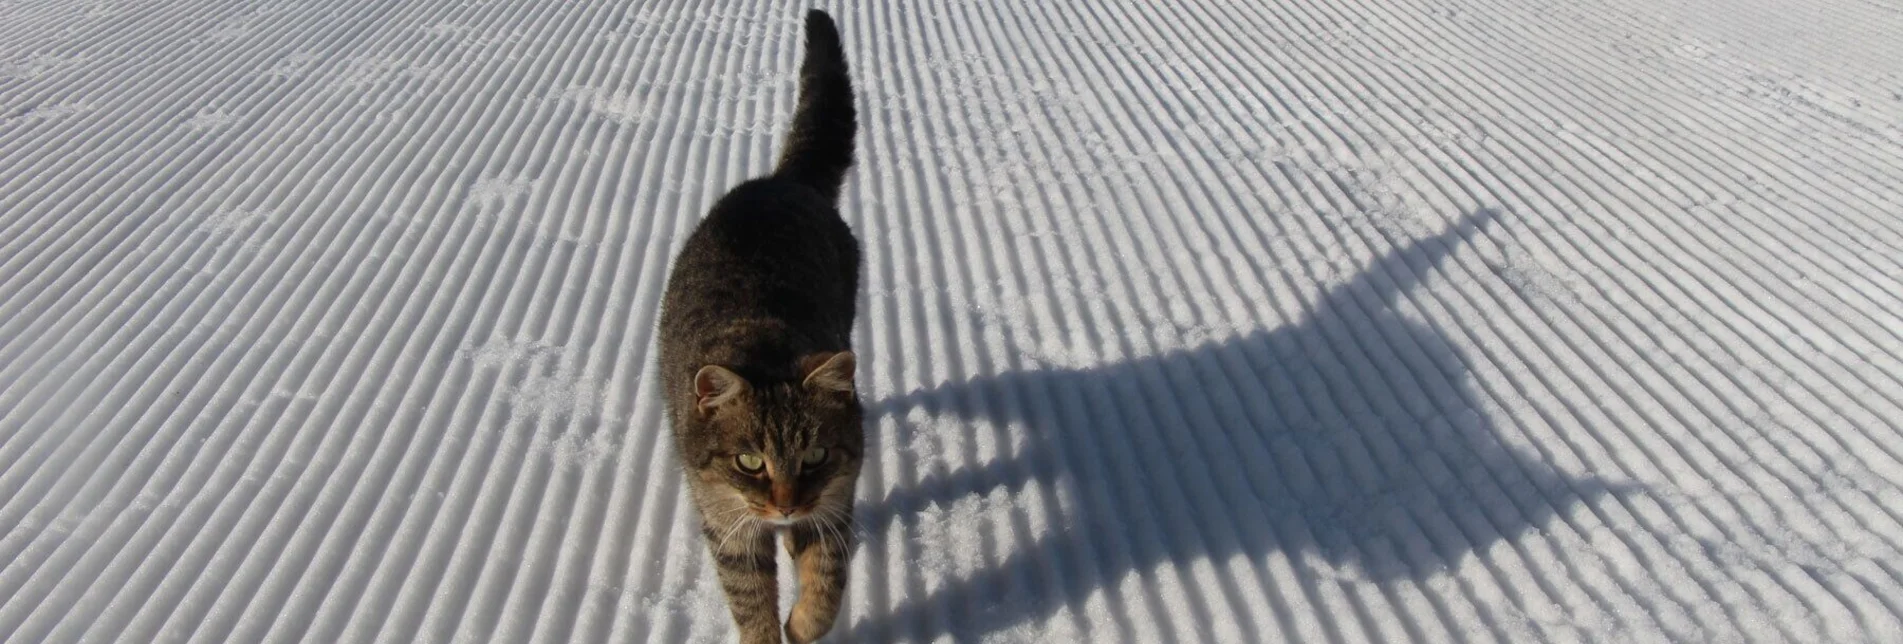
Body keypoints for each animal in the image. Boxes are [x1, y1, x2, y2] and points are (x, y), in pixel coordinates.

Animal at [654, 8, 863, 644]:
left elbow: (827, 580)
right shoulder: (729, 528)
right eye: (749, 463)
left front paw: (806, 621)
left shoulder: (836, 499)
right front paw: (771, 630)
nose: (787, 505)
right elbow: (750, 600)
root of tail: (783, 180)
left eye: (815, 455)